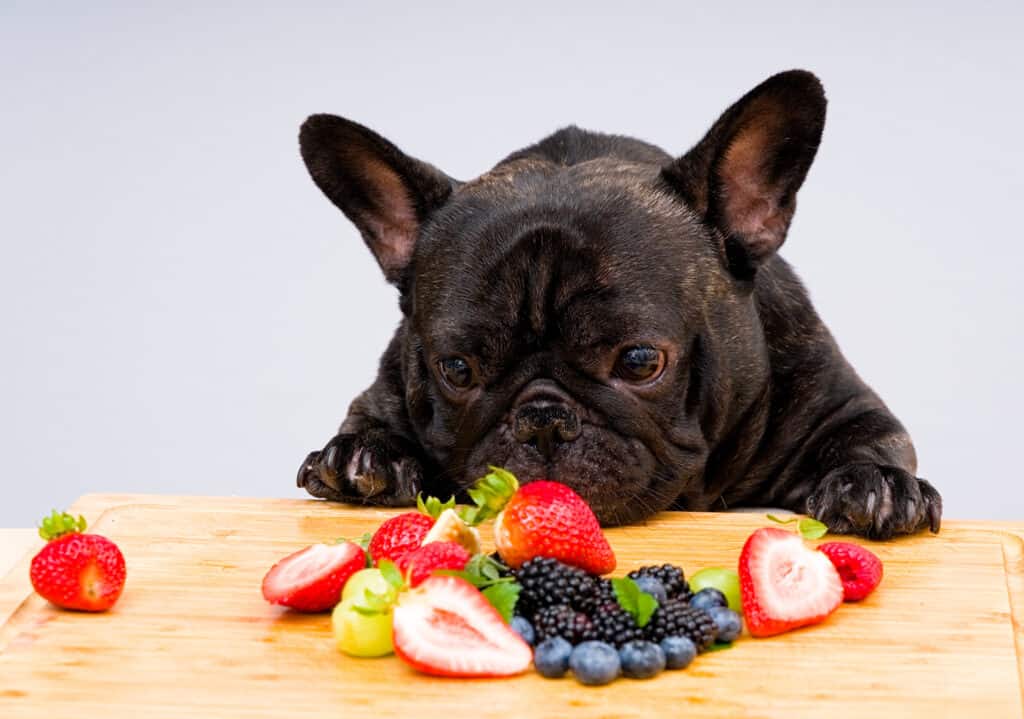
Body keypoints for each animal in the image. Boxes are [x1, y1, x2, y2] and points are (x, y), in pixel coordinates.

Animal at [292, 70, 937, 540]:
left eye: (640, 361)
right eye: (456, 369)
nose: (543, 421)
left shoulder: (842, 402)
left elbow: (871, 438)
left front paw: (875, 484)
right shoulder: (383, 388)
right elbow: (370, 421)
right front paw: (366, 455)